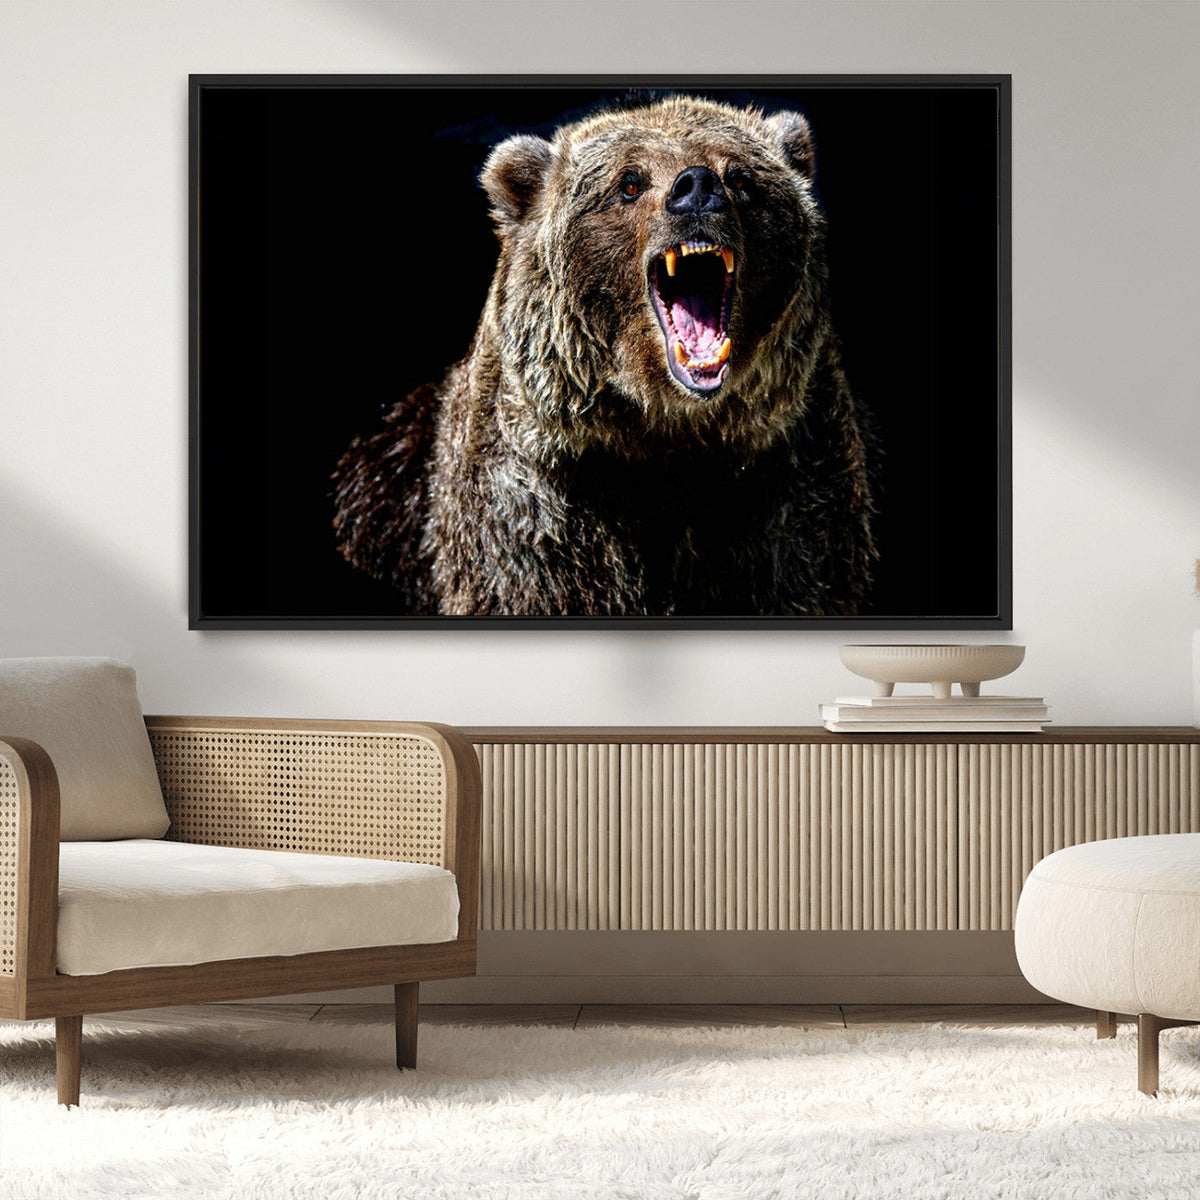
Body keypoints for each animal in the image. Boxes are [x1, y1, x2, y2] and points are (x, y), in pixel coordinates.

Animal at [332, 94, 877, 617]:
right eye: (629, 183)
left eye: (740, 176)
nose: (697, 187)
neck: (664, 435)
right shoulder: (537, 510)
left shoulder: (787, 487)